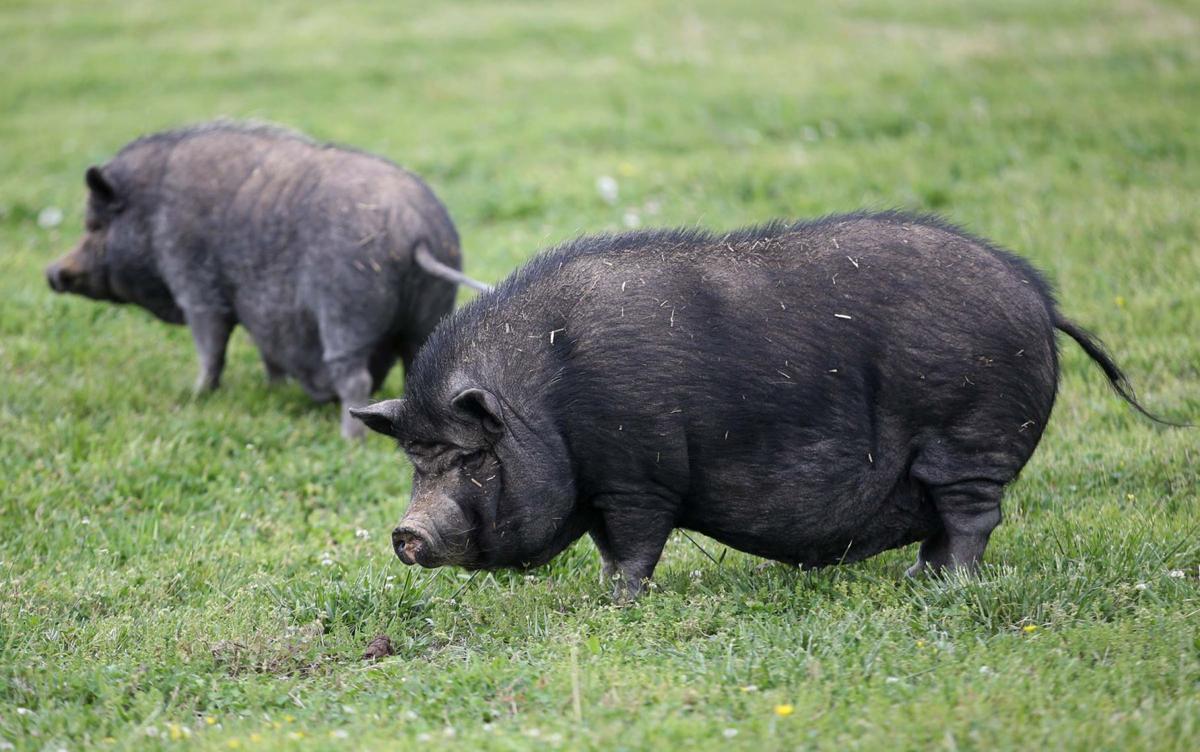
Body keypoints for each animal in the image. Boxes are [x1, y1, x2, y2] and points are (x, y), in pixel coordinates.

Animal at [46, 121, 488, 439]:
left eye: (95, 224)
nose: (51, 272)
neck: (151, 213)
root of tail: (416, 233)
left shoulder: (195, 287)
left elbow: (211, 348)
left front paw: (195, 395)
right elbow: (265, 351)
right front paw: (271, 388)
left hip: (345, 310)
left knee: (354, 375)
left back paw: (349, 438)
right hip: (426, 311)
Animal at [351, 212, 1178, 599]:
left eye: (470, 458)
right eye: (416, 460)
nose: (406, 532)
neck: (543, 404)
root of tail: (1041, 300)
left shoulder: (638, 476)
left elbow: (635, 547)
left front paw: (617, 603)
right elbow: (612, 548)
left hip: (971, 434)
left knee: (974, 517)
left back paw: (943, 586)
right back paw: (921, 577)